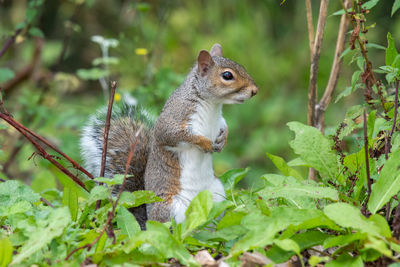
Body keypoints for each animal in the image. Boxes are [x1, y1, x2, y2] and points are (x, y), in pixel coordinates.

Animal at [80, 43, 260, 228]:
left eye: (242, 66)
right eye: (227, 75)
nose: (255, 90)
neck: (212, 105)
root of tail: (146, 222)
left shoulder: (219, 120)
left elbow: (224, 126)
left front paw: (222, 140)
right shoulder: (173, 120)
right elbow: (176, 135)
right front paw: (205, 143)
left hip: (216, 196)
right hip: (171, 209)